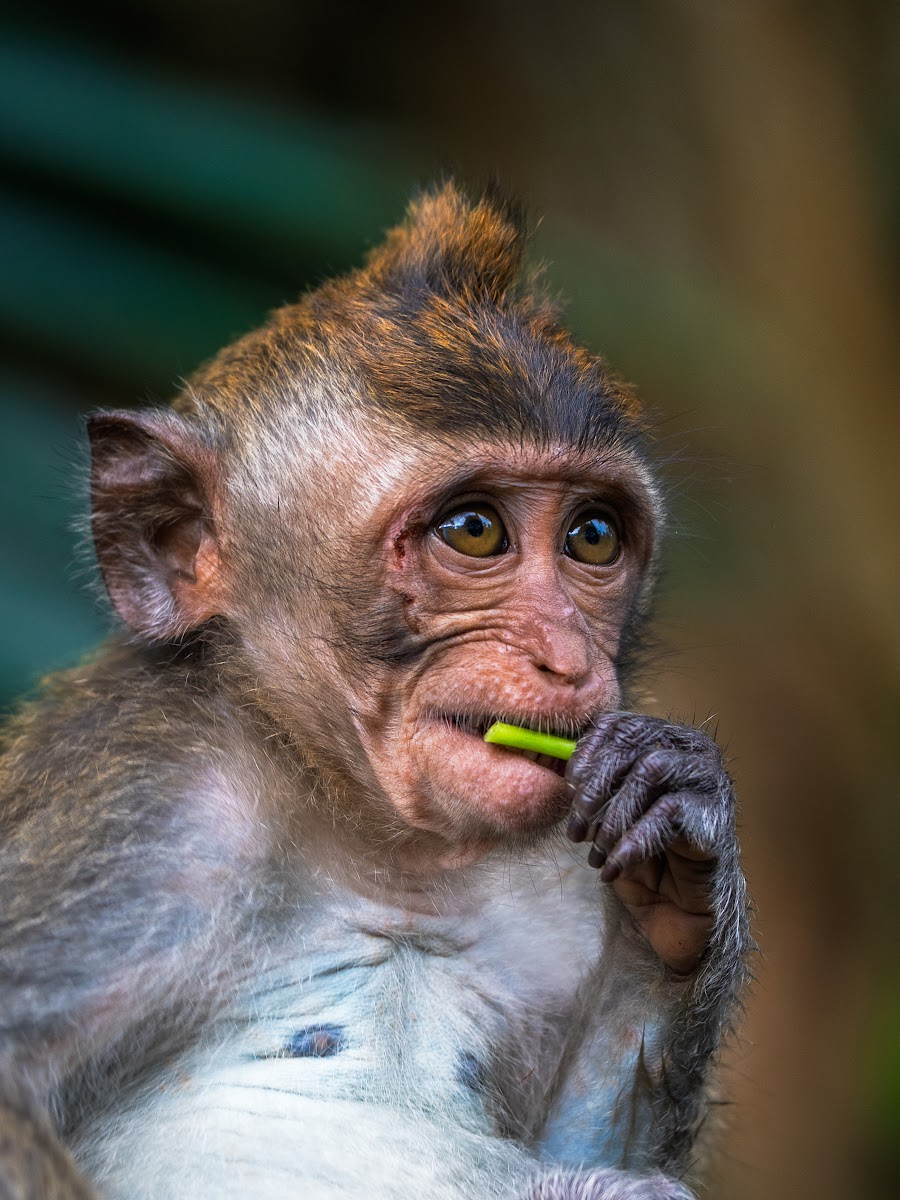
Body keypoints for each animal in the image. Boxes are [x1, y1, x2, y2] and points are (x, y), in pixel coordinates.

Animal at [0, 183, 750, 1200]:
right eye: (475, 530)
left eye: (593, 536)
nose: (568, 659)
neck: (372, 831)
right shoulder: (143, 812)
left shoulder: (560, 885)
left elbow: (594, 1139)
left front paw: (681, 833)